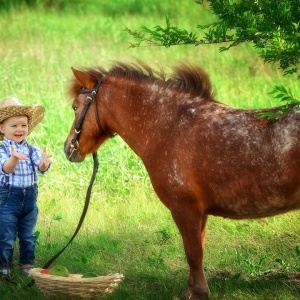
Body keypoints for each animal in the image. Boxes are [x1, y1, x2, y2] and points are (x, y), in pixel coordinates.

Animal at [63, 61, 300, 300]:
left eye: (75, 107)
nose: (68, 148)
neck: (172, 127)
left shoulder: (184, 209)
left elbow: (193, 253)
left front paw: (201, 292)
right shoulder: (199, 213)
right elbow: (196, 251)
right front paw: (190, 292)